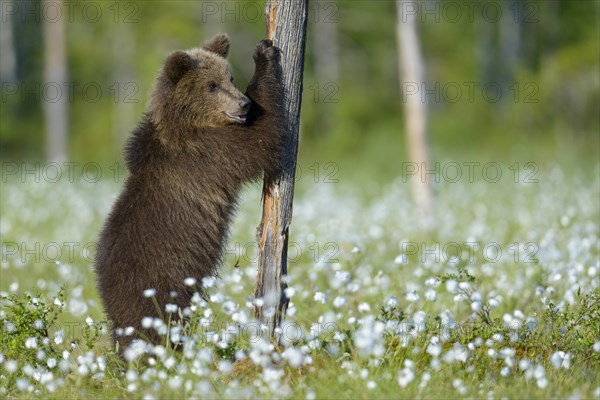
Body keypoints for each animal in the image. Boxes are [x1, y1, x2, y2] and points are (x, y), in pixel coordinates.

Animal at [95, 34, 284, 350]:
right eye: (212, 85)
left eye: (229, 77)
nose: (243, 104)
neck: (190, 124)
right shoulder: (206, 154)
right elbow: (261, 137)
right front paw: (264, 55)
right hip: (157, 283)